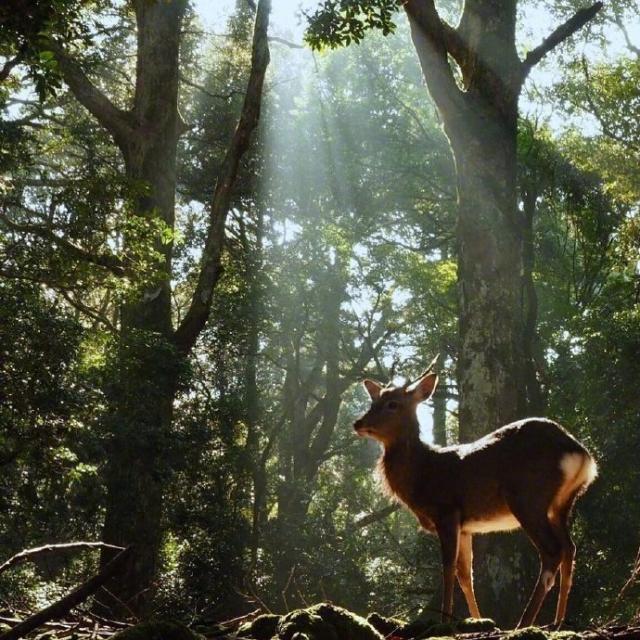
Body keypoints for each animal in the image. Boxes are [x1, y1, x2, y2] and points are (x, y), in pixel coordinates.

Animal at [352, 362, 596, 628]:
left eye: (392, 404)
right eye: (374, 400)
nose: (358, 423)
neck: (422, 474)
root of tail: (580, 454)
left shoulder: (447, 512)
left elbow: (447, 568)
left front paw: (445, 621)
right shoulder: (466, 526)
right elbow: (465, 575)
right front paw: (477, 620)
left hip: (528, 497)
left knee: (552, 551)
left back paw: (523, 622)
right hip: (561, 504)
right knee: (569, 548)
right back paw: (558, 621)